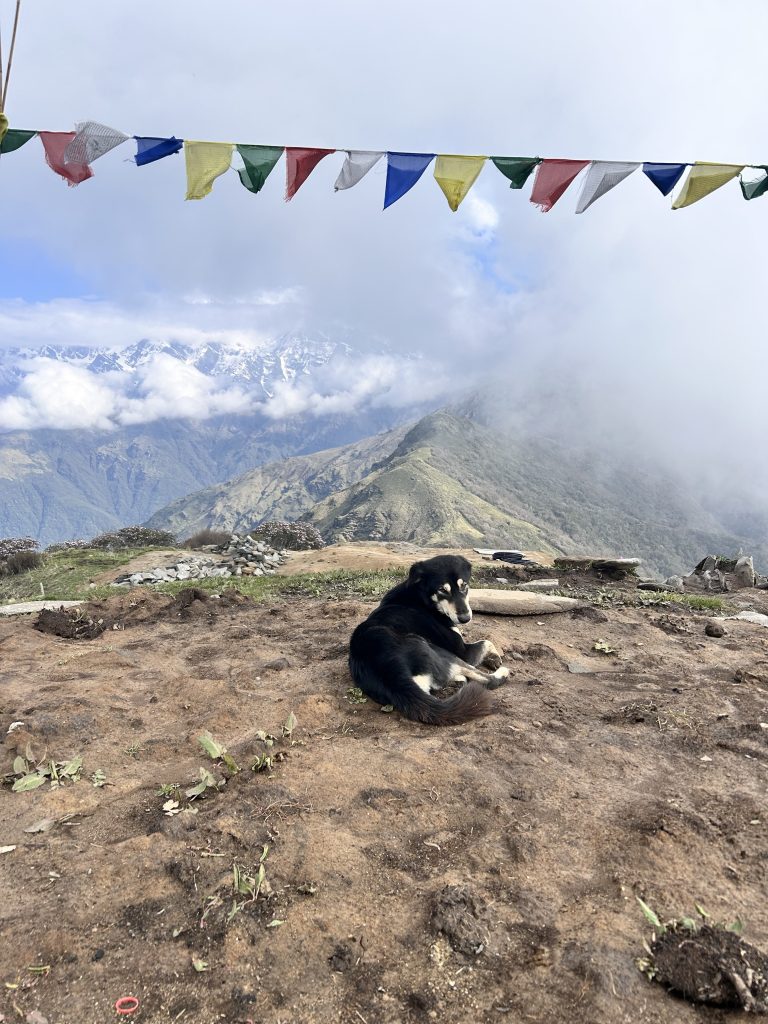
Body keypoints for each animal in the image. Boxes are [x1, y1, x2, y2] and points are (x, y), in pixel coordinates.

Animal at [350, 557, 512, 724]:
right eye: (442, 590)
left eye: (464, 585)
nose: (465, 618)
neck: (421, 599)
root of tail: (392, 673)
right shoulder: (464, 653)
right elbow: (486, 641)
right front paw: (495, 657)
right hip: (441, 653)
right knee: (488, 681)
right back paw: (501, 673)